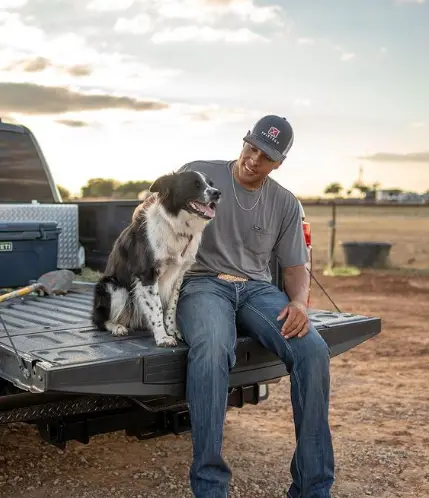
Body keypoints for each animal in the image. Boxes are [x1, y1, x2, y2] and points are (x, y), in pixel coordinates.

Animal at [91, 170, 221, 346]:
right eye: (195, 184)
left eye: (211, 183)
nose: (217, 193)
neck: (175, 226)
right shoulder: (147, 275)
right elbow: (157, 308)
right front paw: (162, 337)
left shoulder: (178, 275)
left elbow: (171, 307)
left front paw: (172, 331)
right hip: (113, 287)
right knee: (100, 321)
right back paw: (117, 327)